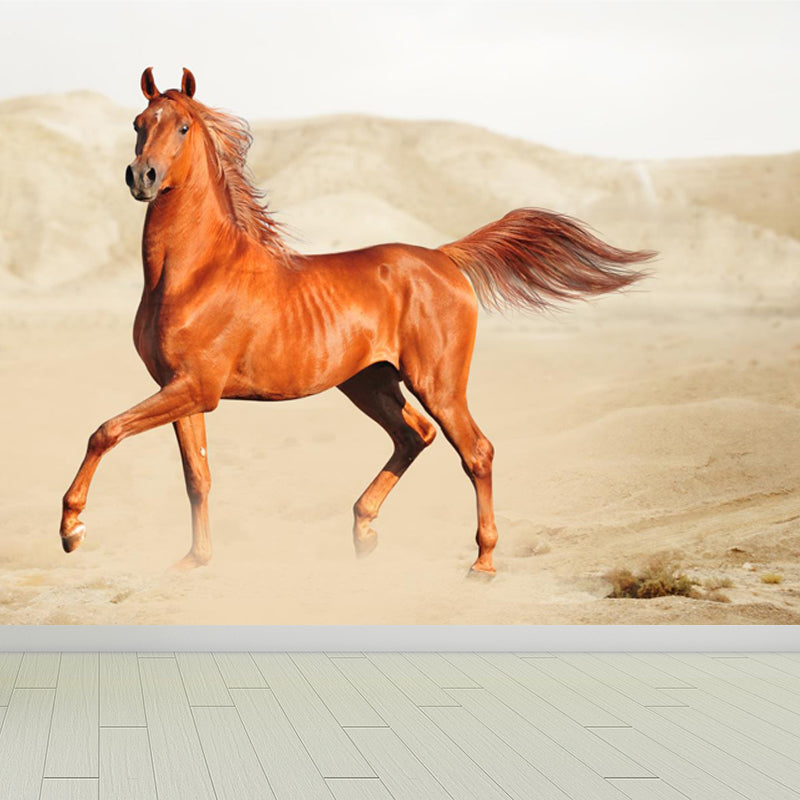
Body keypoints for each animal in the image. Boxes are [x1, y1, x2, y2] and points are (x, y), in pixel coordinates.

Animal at [60, 67, 654, 574]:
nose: (142, 176)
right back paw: (364, 533)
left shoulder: (195, 388)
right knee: (415, 436)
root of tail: (444, 258)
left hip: (436, 382)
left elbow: (104, 431)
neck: (196, 272)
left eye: (182, 126)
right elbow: (196, 477)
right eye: (139, 124)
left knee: (475, 451)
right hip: (369, 382)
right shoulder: (181, 388)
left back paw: (482, 561)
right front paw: (194, 560)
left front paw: (72, 528)